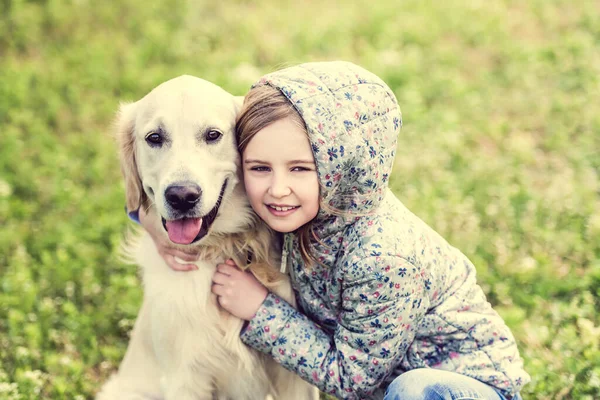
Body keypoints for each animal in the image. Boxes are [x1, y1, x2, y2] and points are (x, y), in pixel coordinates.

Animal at [98, 76, 322, 400]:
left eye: (213, 135)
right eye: (154, 138)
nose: (182, 196)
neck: (219, 249)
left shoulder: (292, 375)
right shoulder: (184, 377)